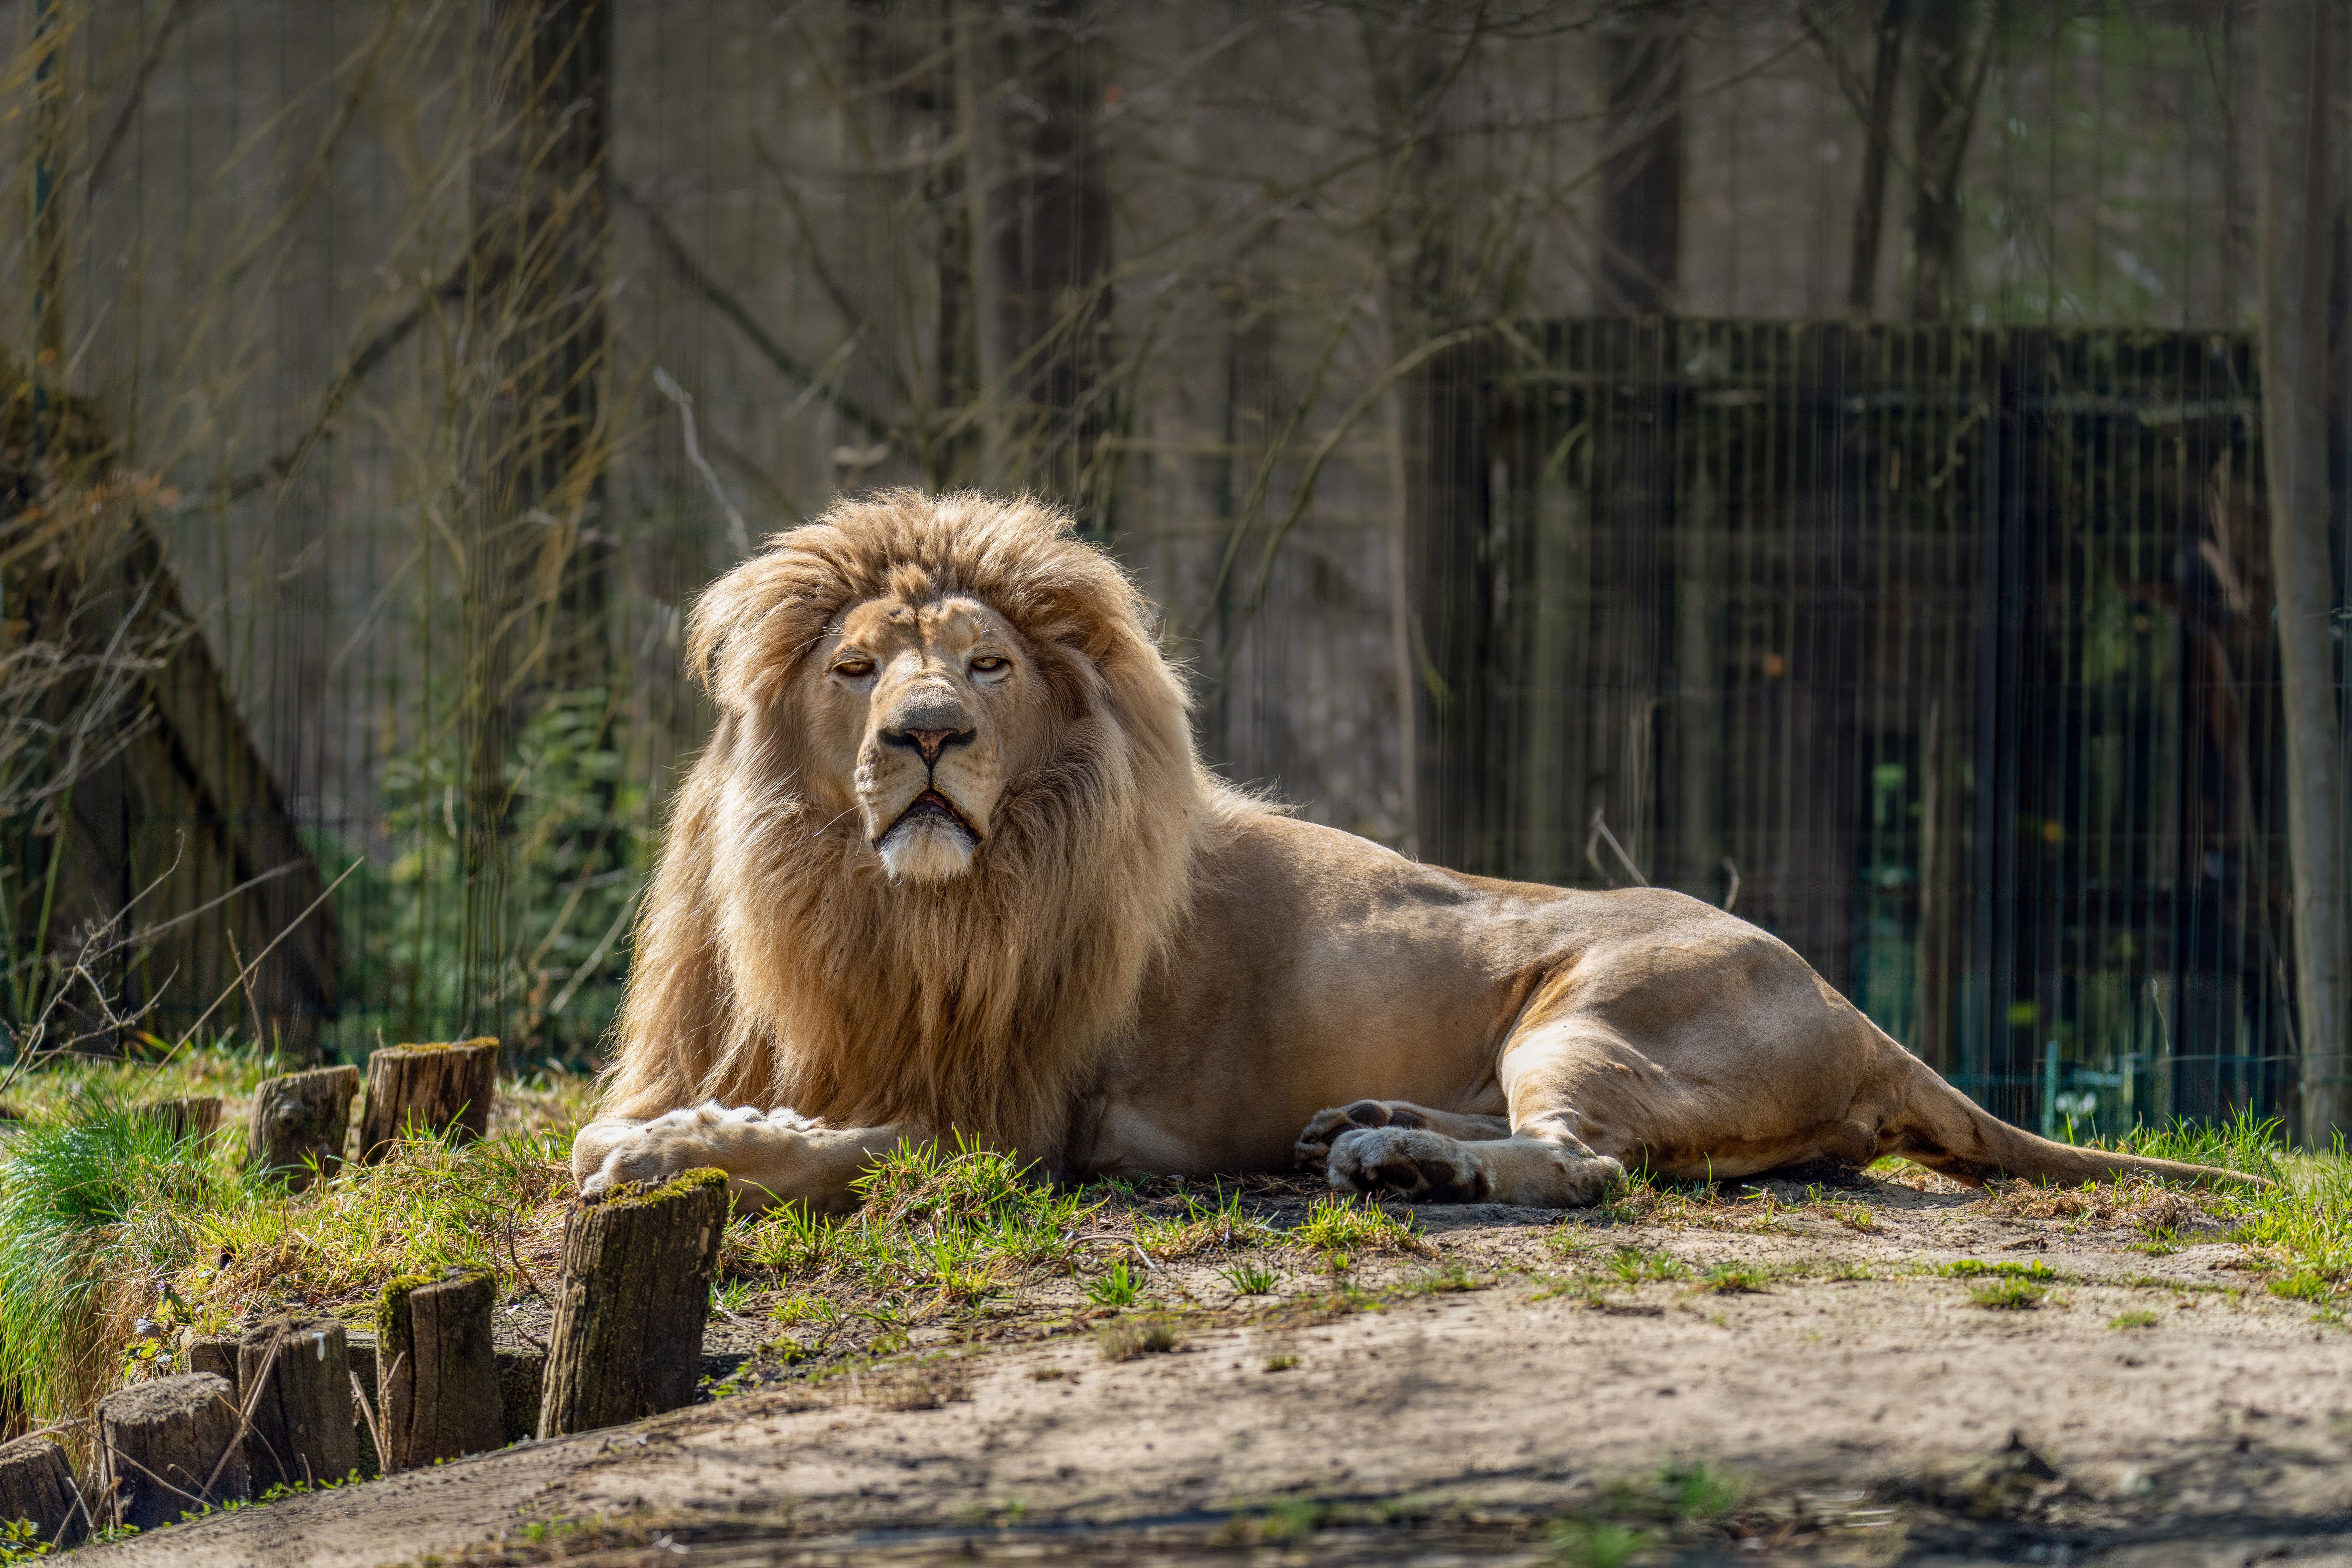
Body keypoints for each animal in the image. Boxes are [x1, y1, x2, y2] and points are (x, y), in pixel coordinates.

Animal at [574, 489, 2247, 1210]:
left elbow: (817, 1144)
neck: (882, 902)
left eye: (985, 668)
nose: (926, 735)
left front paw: (655, 1151)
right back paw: (1366, 1120)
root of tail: (1860, 1013)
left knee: (1584, 1168)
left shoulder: (1017, 1122)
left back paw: (1403, 1157)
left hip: (1596, 1014)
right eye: (860, 669)